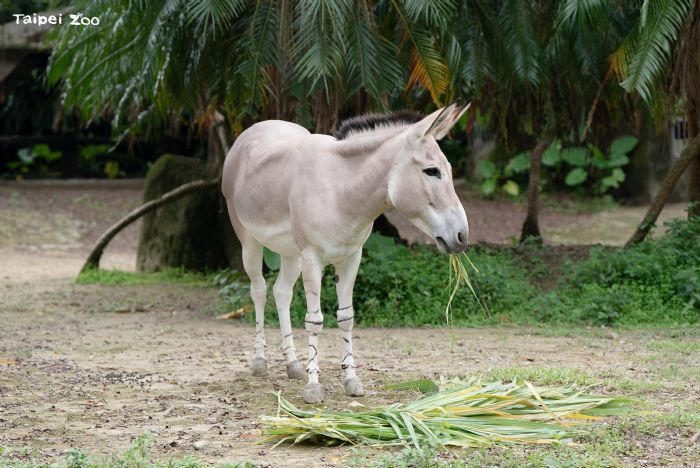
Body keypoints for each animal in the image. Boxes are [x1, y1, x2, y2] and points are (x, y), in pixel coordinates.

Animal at [221, 103, 470, 403]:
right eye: (432, 171)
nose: (462, 236)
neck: (341, 190)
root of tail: (256, 127)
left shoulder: (352, 257)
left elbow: (346, 318)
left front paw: (351, 380)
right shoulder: (312, 258)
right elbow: (315, 321)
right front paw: (313, 387)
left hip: (290, 251)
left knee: (282, 292)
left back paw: (292, 364)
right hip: (249, 239)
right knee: (258, 290)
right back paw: (260, 362)